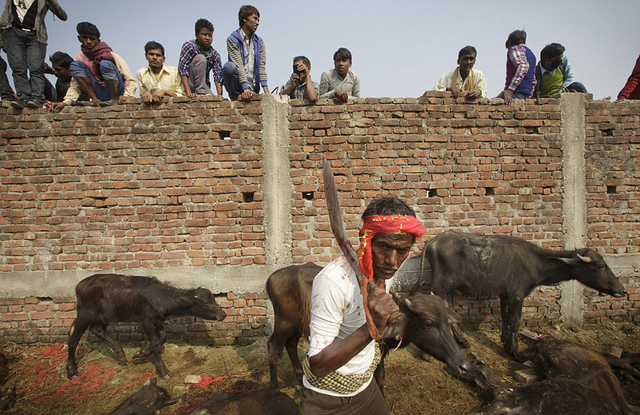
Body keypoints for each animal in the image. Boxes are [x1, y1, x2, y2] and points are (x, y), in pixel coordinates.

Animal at [67, 276, 228, 380]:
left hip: (105, 315)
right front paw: (163, 372)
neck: (160, 297)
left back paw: (120, 353)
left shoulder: (156, 322)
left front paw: (141, 353)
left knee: (98, 330)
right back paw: (71, 371)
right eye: (206, 303)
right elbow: (156, 344)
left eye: (214, 300)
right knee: (73, 338)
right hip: (85, 314)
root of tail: (79, 285)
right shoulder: (147, 322)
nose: (223, 314)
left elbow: (162, 337)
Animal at [264, 264, 470, 392]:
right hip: (284, 323)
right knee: (273, 346)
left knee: (290, 345)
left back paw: (300, 379)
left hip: (296, 326)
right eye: (428, 323)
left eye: (446, 321)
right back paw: (274, 386)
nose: (463, 365)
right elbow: (378, 378)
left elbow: (381, 377)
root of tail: (272, 277)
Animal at [418, 232, 628, 360]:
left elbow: (505, 318)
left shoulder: (505, 295)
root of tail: (434, 241)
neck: (536, 262)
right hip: (440, 285)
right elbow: (516, 321)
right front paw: (516, 352)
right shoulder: (517, 295)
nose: (623, 290)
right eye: (600, 266)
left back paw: (462, 340)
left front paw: (505, 344)